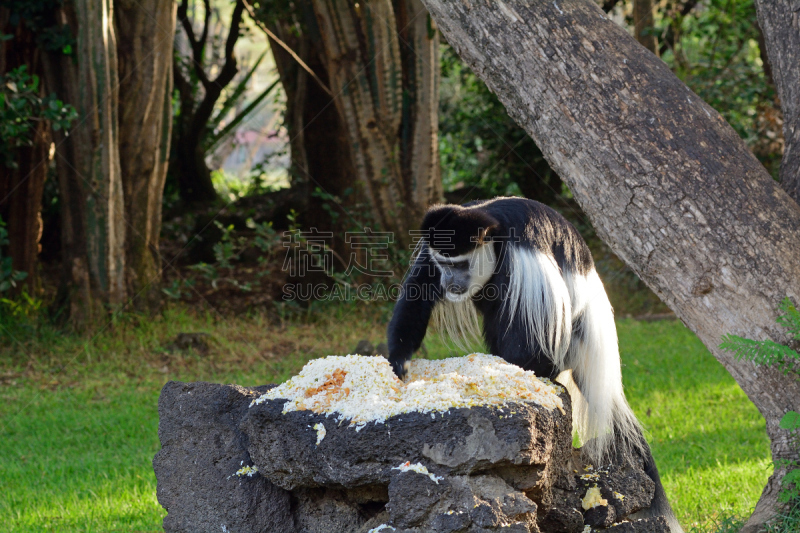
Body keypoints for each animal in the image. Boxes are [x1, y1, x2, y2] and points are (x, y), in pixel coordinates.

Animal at [386, 197, 680, 528]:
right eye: (443, 264)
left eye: (459, 264)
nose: (449, 282)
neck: (494, 233)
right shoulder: (432, 248)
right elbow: (418, 291)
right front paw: (398, 362)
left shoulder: (522, 259)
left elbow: (530, 330)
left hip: (569, 340)